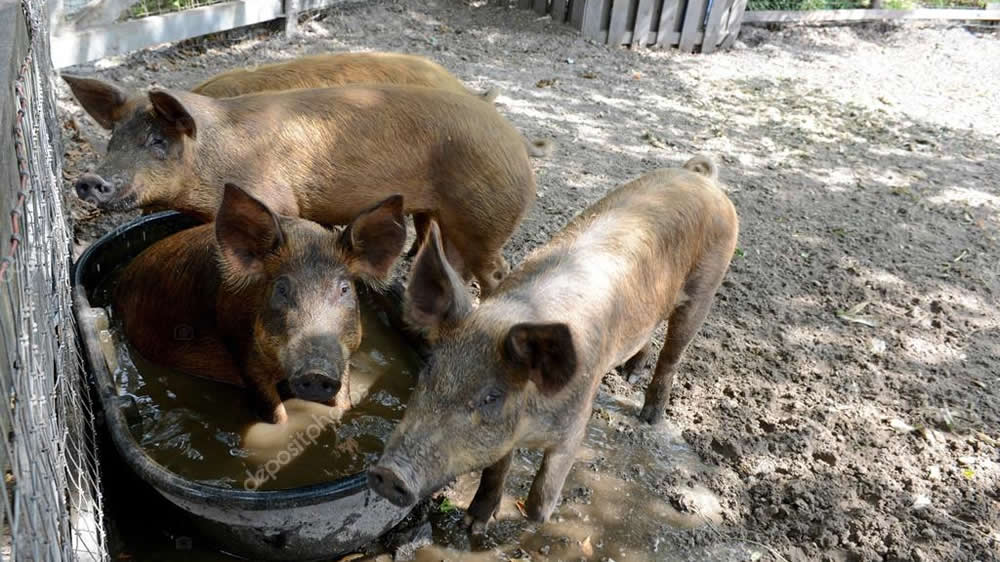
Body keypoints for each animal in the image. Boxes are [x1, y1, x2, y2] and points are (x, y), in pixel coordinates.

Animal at [68, 83, 540, 296]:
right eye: (113, 140)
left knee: (496, 269)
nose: (89, 180)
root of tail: (518, 143)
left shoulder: (276, 200)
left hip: (483, 216)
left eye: (158, 141)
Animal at [72, 210, 424, 560]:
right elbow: (274, 412)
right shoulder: (242, 350)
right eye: (281, 289)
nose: (316, 372)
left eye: (344, 289)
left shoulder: (346, 357)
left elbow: (344, 403)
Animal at [368, 155, 736, 528]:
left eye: (491, 396)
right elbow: (495, 471)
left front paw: (535, 521)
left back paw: (649, 417)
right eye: (429, 367)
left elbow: (546, 486)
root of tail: (700, 179)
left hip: (705, 288)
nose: (388, 473)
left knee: (673, 353)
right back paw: (630, 374)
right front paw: (472, 523)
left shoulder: (576, 420)